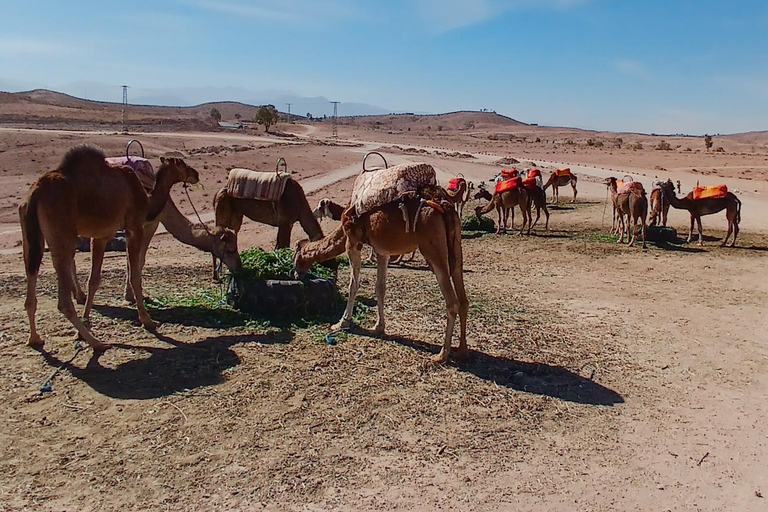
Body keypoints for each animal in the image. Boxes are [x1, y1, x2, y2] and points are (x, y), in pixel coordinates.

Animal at [21, 146, 198, 350]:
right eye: (183, 165)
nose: (196, 174)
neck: (147, 201)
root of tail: (34, 194)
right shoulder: (134, 228)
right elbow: (135, 274)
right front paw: (148, 320)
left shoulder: (101, 236)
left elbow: (94, 280)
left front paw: (86, 323)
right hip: (62, 233)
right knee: (63, 297)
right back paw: (96, 342)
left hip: (30, 235)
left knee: (31, 274)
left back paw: (35, 338)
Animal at [294, 192, 468, 364]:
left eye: (295, 257)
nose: (296, 273)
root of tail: (446, 208)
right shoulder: (382, 251)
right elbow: (380, 287)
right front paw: (378, 327)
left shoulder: (352, 243)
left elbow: (353, 285)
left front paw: (341, 323)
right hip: (456, 248)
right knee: (463, 299)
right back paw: (461, 351)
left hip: (433, 249)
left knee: (452, 302)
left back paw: (441, 355)